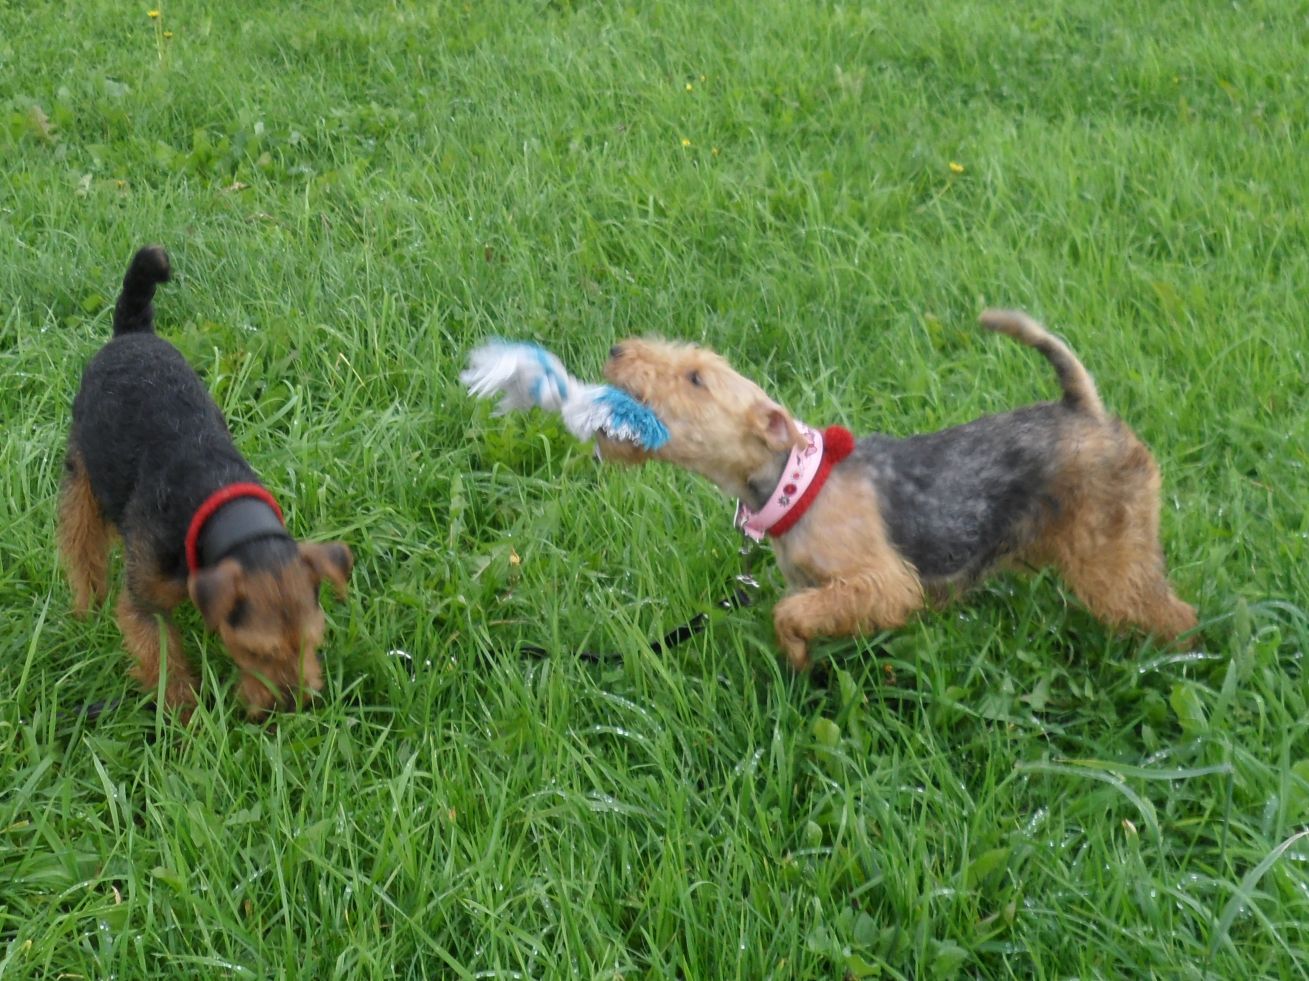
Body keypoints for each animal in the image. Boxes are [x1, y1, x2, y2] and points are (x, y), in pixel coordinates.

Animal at [57, 246, 353, 719]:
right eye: (256, 651)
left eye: (313, 642)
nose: (289, 709)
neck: (217, 501)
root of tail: (132, 333)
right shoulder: (146, 604)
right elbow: (164, 661)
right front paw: (186, 717)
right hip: (80, 473)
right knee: (81, 545)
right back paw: (87, 609)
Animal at [598, 311, 1197, 669]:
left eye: (696, 378)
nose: (617, 349)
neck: (798, 484)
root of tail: (1085, 409)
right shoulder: (819, 584)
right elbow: (796, 614)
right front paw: (798, 665)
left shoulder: (883, 584)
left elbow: (789, 612)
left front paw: (796, 652)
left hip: (1114, 550)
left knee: (1173, 613)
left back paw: (1176, 662)